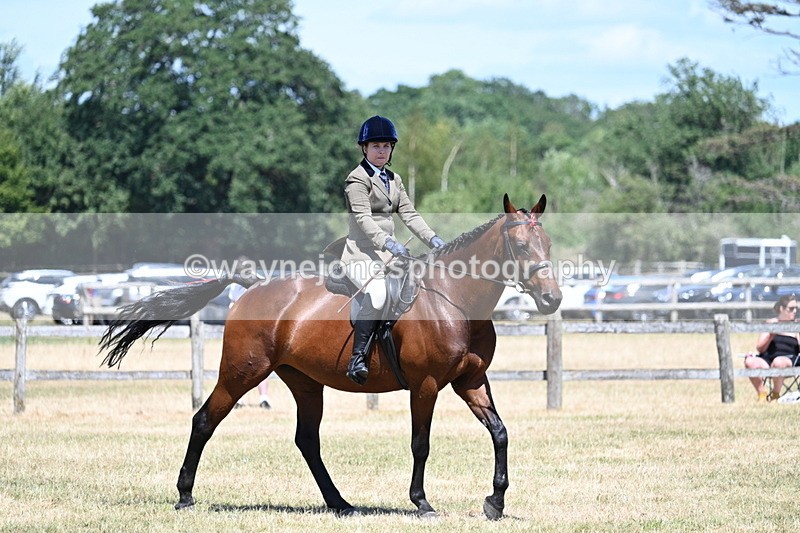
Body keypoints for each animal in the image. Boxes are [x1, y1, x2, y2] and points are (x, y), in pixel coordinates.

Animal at [99, 193, 562, 520]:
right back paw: (185, 495)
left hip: (304, 382)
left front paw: (495, 502)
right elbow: (421, 443)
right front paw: (422, 502)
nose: (553, 300)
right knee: (204, 420)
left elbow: (500, 432)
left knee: (307, 440)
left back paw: (339, 502)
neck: (455, 300)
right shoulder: (426, 385)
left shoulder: (471, 381)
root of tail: (253, 285)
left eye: (548, 243)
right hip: (241, 373)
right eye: (521, 247)